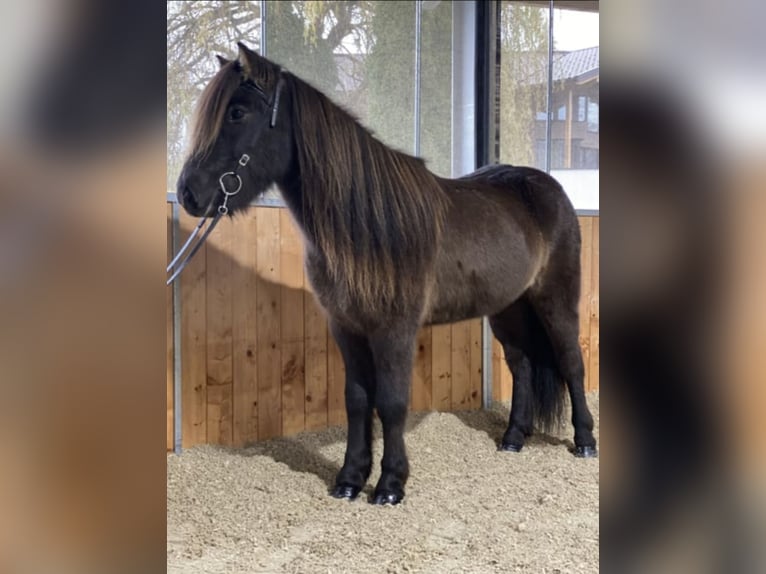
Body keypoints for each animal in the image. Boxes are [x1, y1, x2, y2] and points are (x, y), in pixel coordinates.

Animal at [177, 42, 596, 506]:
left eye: (237, 112)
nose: (188, 193)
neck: (369, 225)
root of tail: (549, 188)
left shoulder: (394, 329)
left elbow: (392, 402)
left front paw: (390, 485)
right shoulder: (346, 327)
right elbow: (358, 400)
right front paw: (349, 480)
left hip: (556, 300)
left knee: (571, 362)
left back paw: (584, 442)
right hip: (508, 307)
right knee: (521, 363)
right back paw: (513, 439)